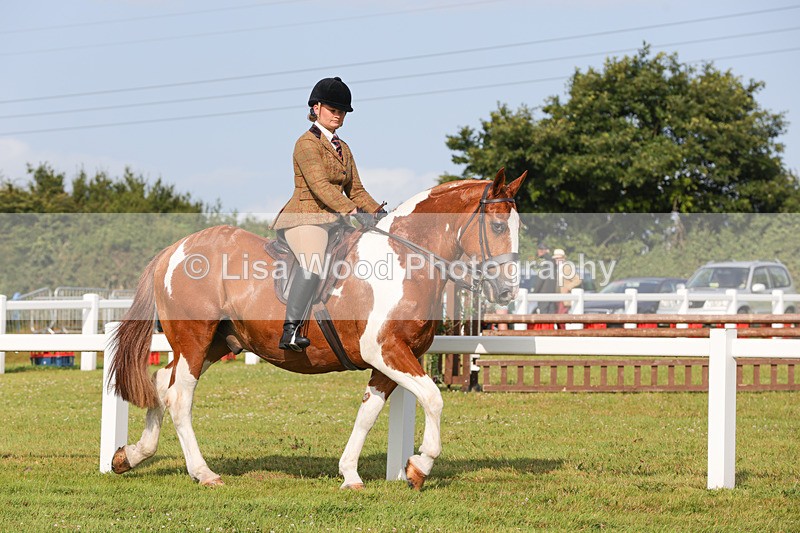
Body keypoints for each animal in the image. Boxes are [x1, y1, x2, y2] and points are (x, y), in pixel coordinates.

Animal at [108, 168, 526, 489]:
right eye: (497, 225)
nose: (507, 290)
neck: (406, 258)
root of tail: (172, 251)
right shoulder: (385, 350)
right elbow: (433, 398)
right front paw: (419, 467)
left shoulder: (390, 361)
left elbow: (368, 413)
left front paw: (350, 474)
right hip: (194, 340)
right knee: (180, 397)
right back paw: (203, 473)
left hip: (217, 343)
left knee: (161, 384)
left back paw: (130, 456)